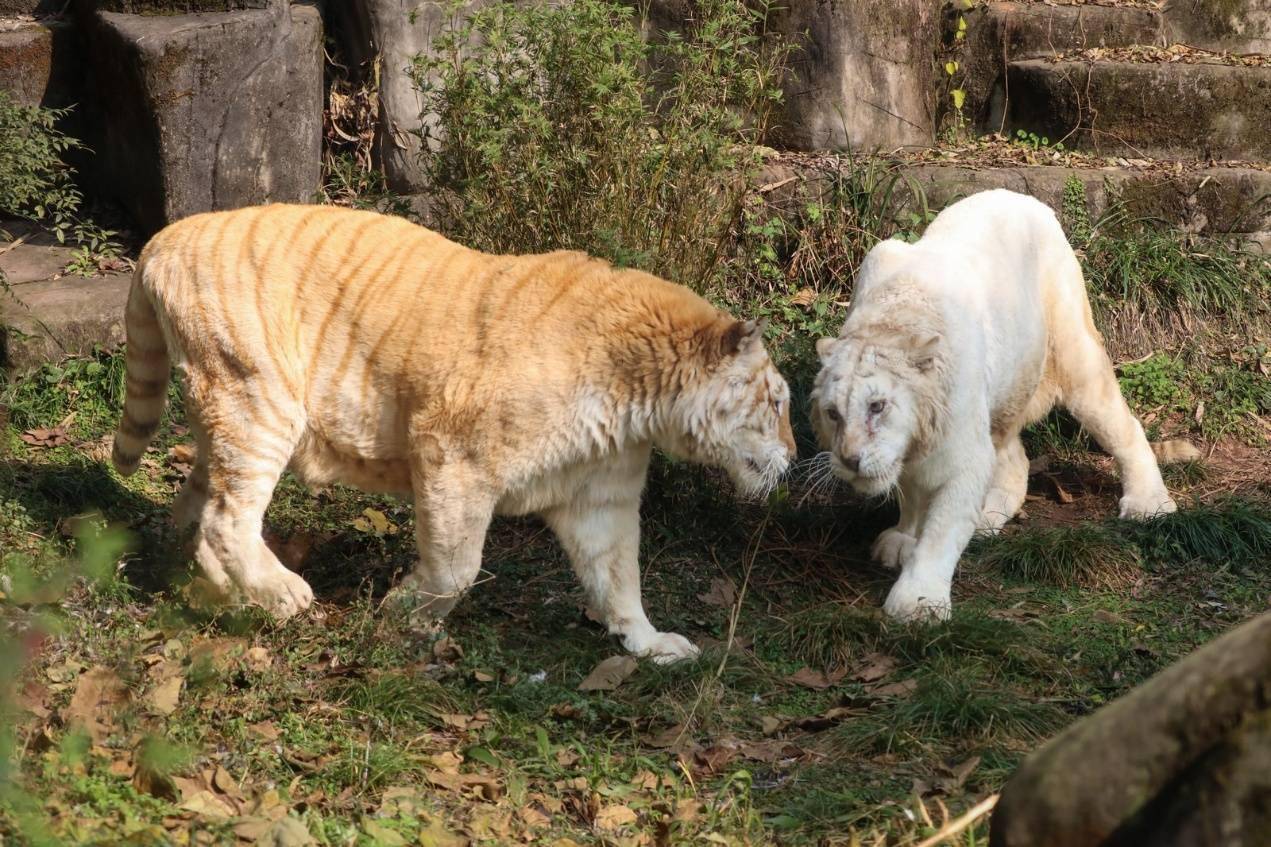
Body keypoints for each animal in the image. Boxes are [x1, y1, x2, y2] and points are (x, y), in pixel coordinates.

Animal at [116, 203, 793, 661]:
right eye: (779, 400)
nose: (792, 454)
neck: (640, 400)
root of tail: (163, 237)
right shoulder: (453, 455)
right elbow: (459, 565)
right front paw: (404, 614)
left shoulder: (601, 495)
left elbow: (620, 577)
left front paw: (651, 644)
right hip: (258, 400)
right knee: (227, 516)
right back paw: (285, 594)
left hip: (227, 418)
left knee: (201, 510)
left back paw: (234, 601)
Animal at [813, 188, 1189, 618]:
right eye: (833, 413)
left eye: (877, 406)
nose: (850, 461)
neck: (891, 322)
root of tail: (1023, 197)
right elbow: (911, 489)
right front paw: (902, 539)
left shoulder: (960, 449)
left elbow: (942, 528)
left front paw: (918, 602)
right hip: (1007, 393)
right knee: (1016, 458)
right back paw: (989, 513)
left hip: (1074, 353)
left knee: (1120, 423)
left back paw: (1148, 503)